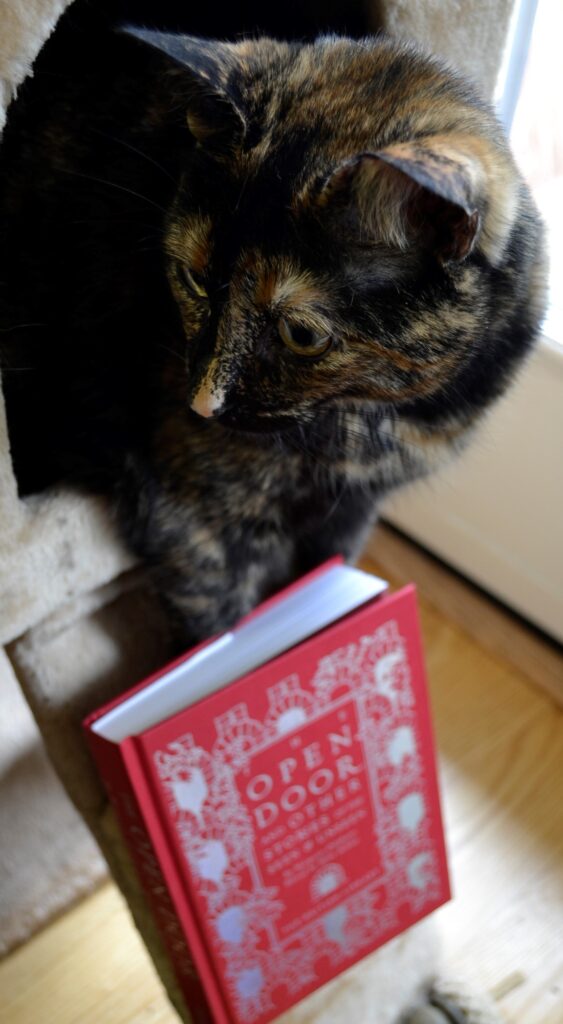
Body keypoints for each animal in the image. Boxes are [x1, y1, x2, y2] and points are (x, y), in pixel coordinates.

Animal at [0, 12, 548, 643]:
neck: (380, 420)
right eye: (193, 278)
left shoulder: (354, 510)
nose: (201, 405)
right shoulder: (194, 519)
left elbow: (325, 570)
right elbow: (223, 626)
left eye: (301, 335)